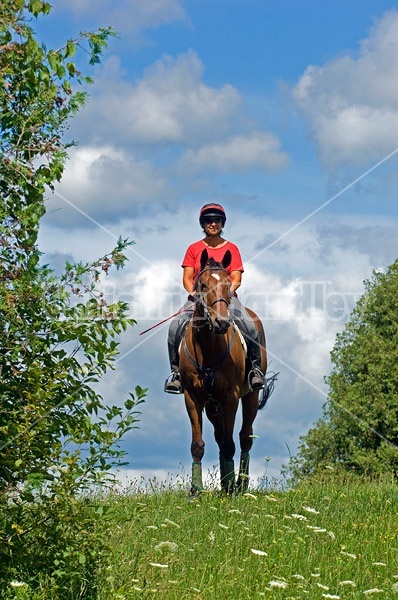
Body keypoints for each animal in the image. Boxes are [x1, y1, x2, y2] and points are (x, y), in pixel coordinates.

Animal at [179, 248, 268, 496]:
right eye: (202, 284)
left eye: (228, 284)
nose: (221, 322)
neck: (209, 347)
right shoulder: (193, 397)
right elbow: (198, 445)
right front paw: (196, 490)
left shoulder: (231, 396)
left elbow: (230, 443)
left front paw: (230, 488)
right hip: (212, 406)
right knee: (220, 437)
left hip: (250, 396)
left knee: (244, 437)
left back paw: (240, 483)